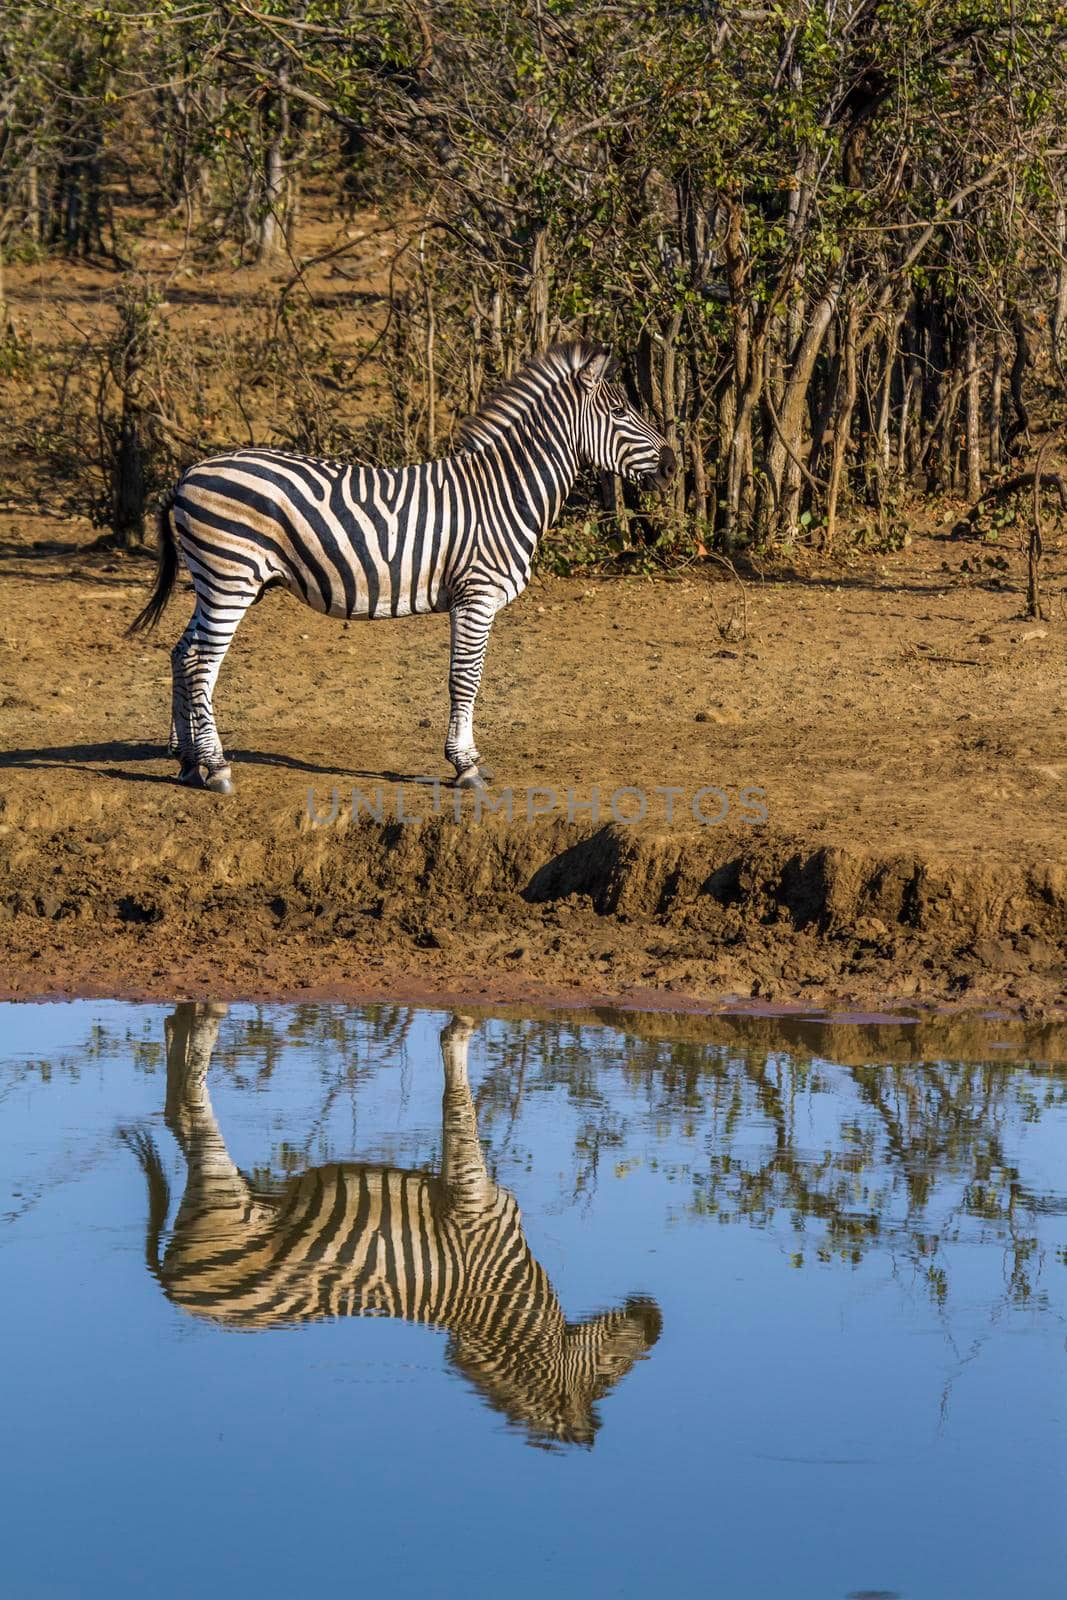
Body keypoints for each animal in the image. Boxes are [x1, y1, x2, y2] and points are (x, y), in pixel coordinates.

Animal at [125, 1004, 659, 1446]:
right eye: (611, 1371)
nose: (656, 1323)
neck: (501, 1301)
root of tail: (171, 1287)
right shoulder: (472, 1199)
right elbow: (460, 1104)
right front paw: (463, 1027)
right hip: (223, 1199)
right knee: (192, 1095)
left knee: (176, 1078)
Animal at [127, 342, 675, 793]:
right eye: (620, 411)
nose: (672, 466)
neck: (504, 491)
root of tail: (187, 474)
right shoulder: (476, 595)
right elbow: (465, 677)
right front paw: (465, 765)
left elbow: (468, 676)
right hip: (231, 578)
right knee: (201, 663)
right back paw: (216, 768)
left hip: (218, 581)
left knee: (182, 653)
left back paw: (187, 762)